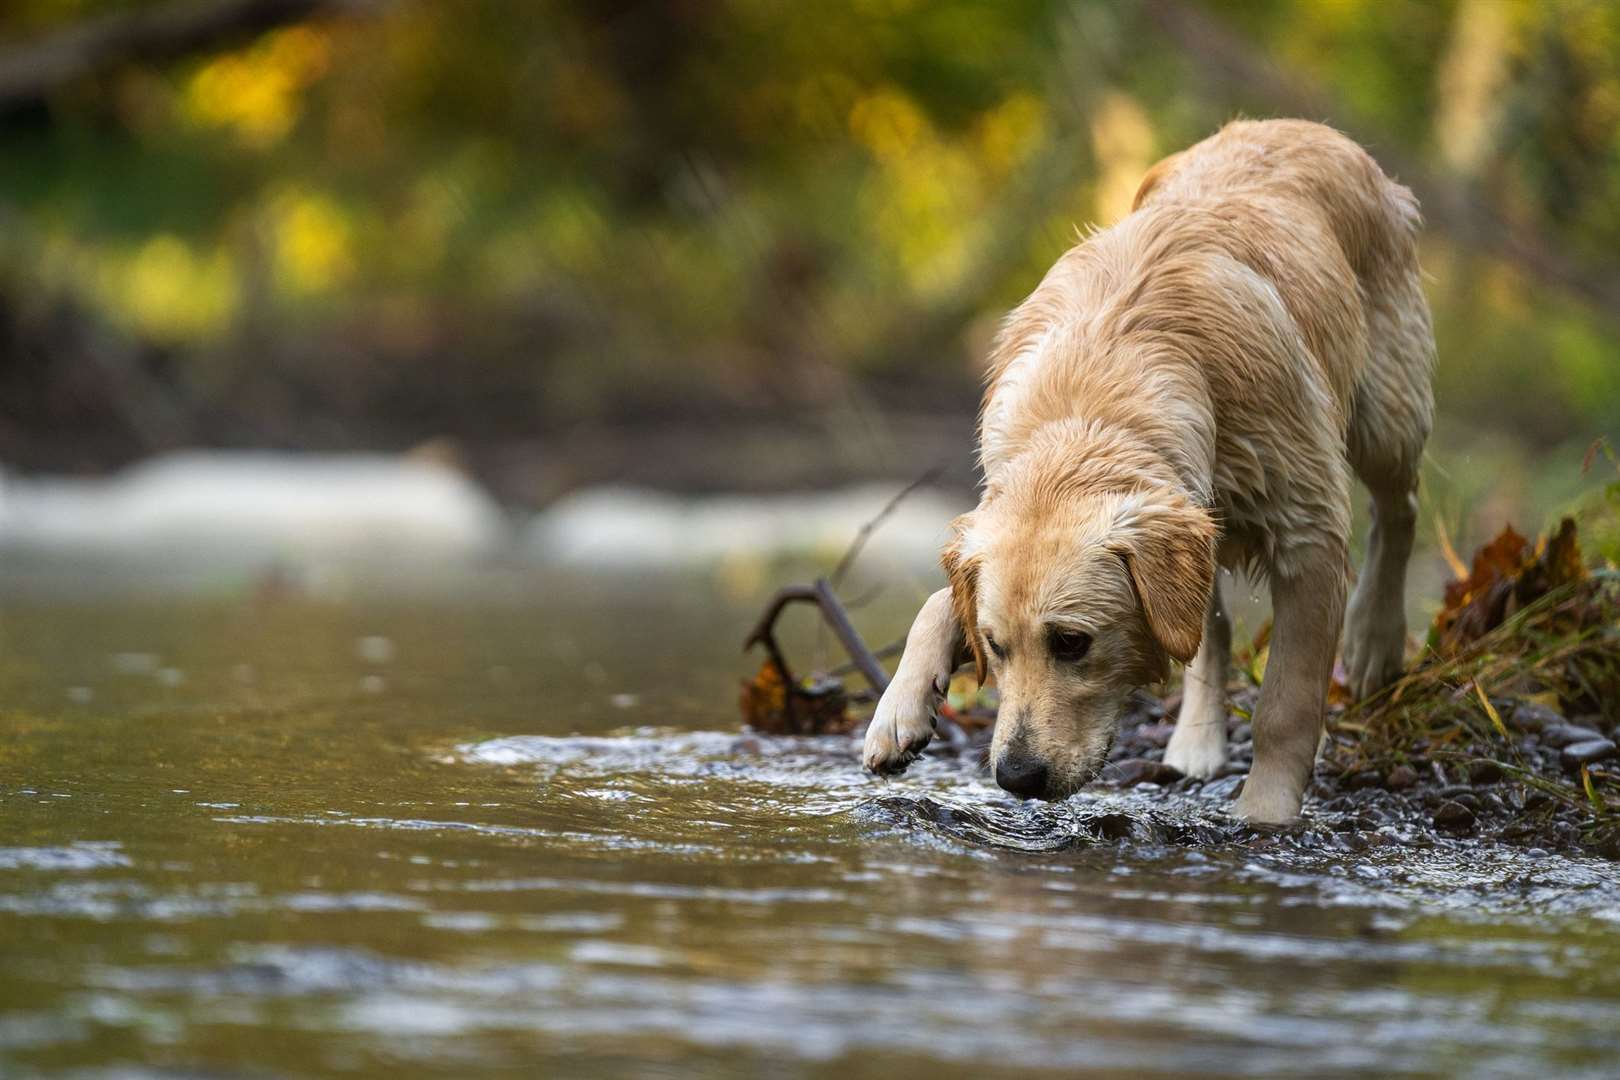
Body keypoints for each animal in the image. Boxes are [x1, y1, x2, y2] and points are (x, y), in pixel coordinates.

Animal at [868, 120, 1438, 829]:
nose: (1015, 778)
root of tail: (1299, 126)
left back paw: (1372, 642)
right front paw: (898, 712)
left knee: (1400, 508)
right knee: (1208, 625)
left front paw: (1266, 814)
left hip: (1385, 413)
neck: (1097, 388)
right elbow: (938, 601)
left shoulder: (1308, 536)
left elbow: (1287, 703)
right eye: (995, 647)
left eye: (1072, 642)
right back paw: (1195, 740)